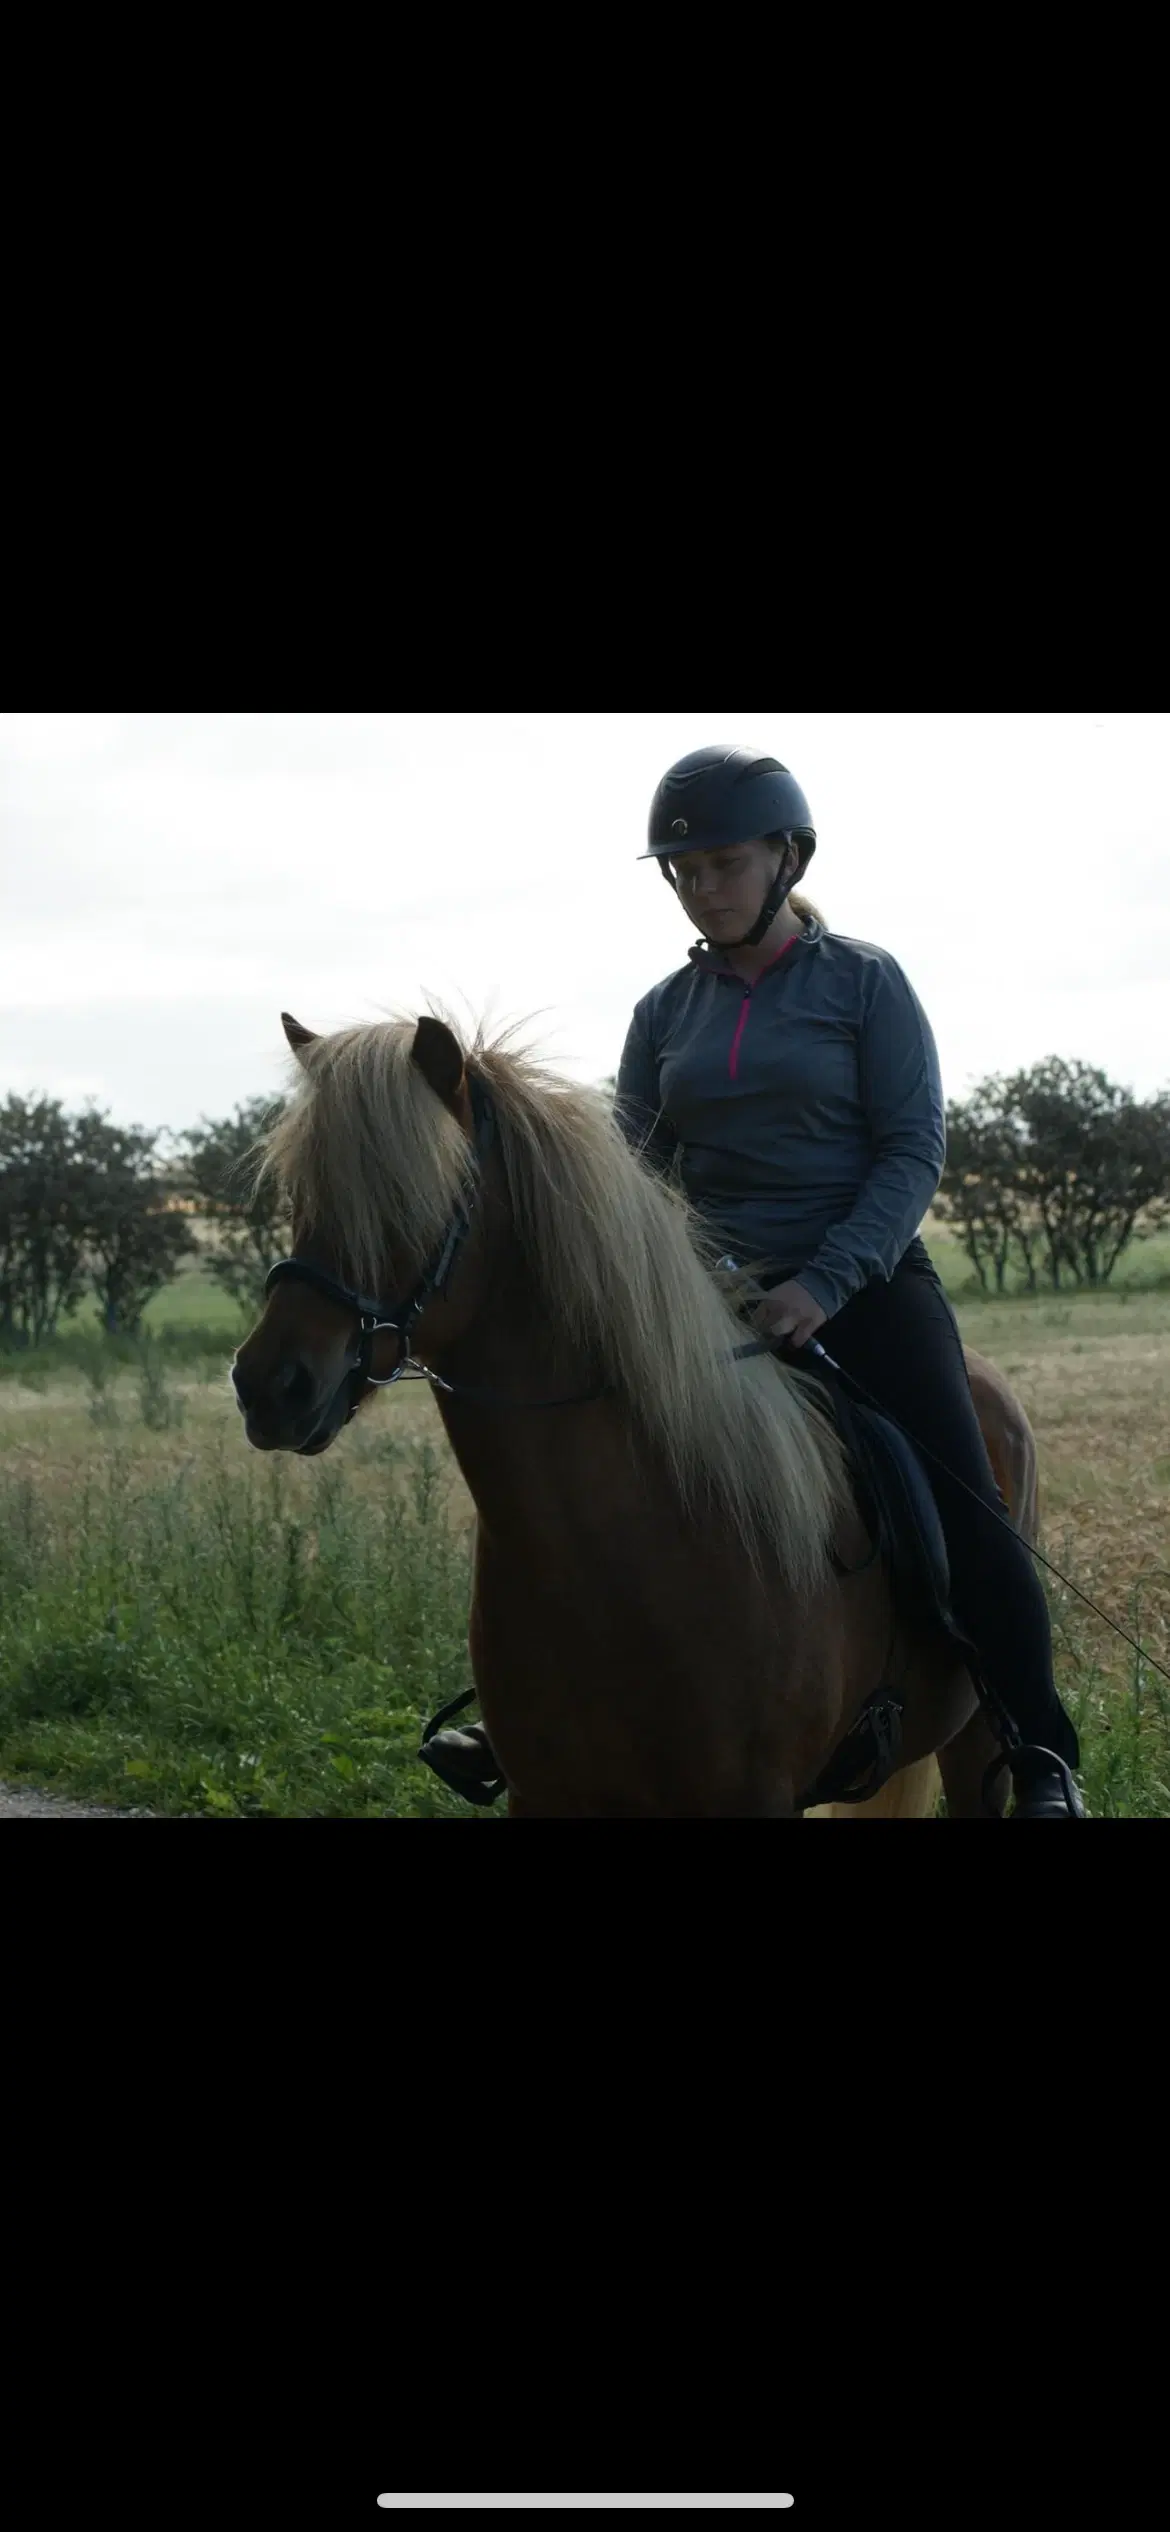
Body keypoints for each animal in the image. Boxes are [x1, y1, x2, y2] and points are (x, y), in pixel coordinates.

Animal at [232, 1007, 1038, 1823]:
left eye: (410, 1195)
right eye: (299, 1192)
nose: (269, 1386)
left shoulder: (755, 1796)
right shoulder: (545, 1794)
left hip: (976, 1744)